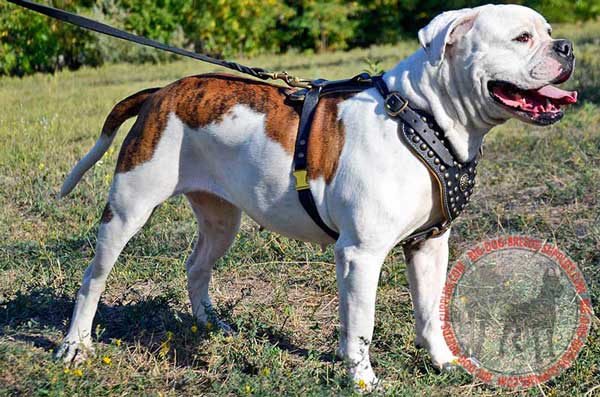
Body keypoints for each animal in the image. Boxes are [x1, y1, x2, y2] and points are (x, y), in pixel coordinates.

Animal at [55, 3, 576, 386]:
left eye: (549, 31)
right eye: (522, 38)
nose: (567, 47)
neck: (421, 116)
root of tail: (161, 91)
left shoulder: (429, 245)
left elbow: (431, 311)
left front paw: (444, 362)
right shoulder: (361, 255)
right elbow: (360, 328)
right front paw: (363, 381)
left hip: (222, 219)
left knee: (196, 266)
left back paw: (210, 325)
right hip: (127, 211)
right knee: (93, 278)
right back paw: (76, 345)